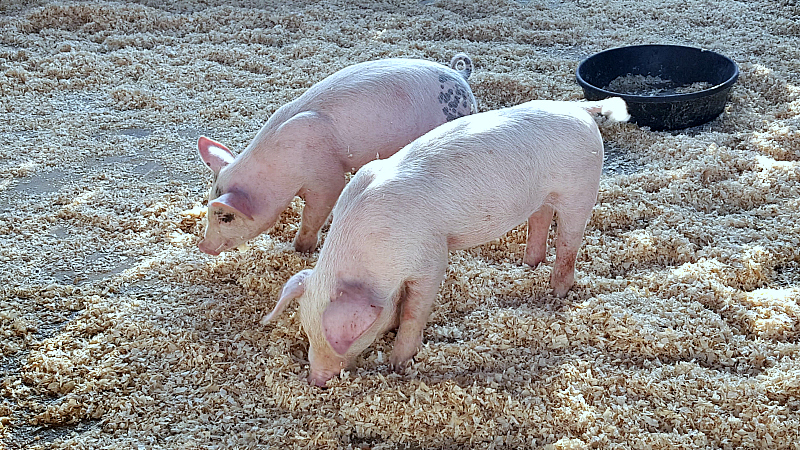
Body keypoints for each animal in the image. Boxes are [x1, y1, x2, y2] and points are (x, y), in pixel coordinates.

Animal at [198, 54, 478, 255]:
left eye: (225, 217)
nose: (203, 246)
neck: (279, 169)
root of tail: (459, 74)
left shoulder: (325, 175)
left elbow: (317, 209)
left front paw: (300, 249)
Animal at [266, 96, 628, 384]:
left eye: (346, 338)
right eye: (307, 329)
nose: (316, 380)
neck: (372, 253)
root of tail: (579, 108)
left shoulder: (430, 257)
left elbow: (415, 310)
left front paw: (399, 364)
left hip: (580, 189)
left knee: (569, 241)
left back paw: (557, 293)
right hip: (541, 197)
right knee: (540, 220)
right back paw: (528, 267)